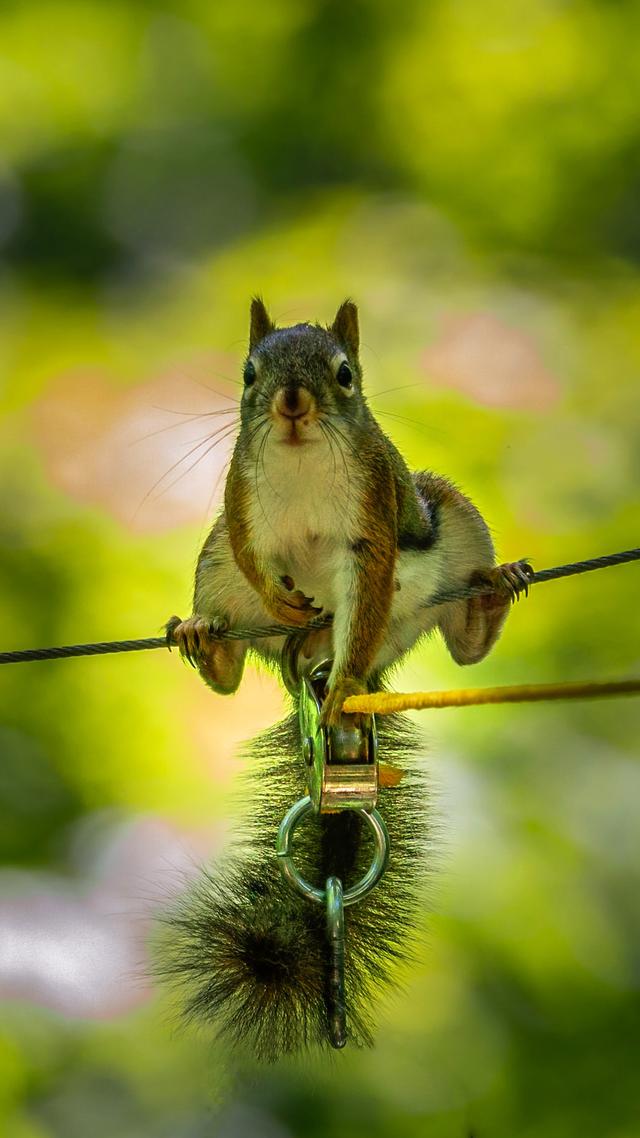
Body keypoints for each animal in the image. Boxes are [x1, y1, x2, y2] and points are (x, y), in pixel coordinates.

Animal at [158, 298, 528, 1051]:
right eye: (249, 373)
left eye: (345, 374)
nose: (293, 404)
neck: (302, 464)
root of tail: (309, 657)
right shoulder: (238, 508)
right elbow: (253, 556)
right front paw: (271, 602)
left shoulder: (373, 521)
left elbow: (368, 588)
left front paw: (344, 690)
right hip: (214, 569)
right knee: (228, 667)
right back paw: (203, 637)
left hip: (449, 529)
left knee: (462, 644)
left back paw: (488, 595)